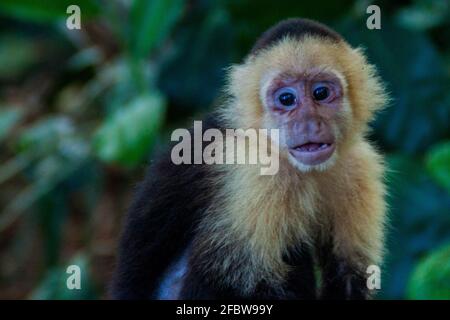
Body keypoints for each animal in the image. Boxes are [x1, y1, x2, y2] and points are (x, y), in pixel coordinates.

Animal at [110, 18, 388, 300]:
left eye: (320, 93)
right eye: (286, 99)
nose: (308, 123)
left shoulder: (359, 167)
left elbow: (349, 274)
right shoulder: (257, 173)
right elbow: (225, 278)